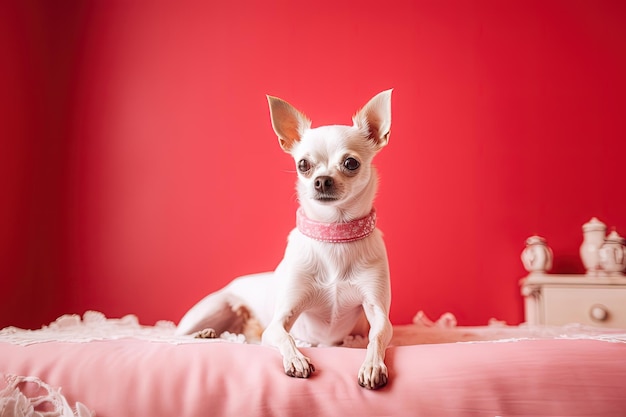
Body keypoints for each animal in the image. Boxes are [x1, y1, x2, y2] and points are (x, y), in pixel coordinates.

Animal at [176, 89, 390, 388]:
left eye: (351, 163)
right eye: (303, 164)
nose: (322, 180)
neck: (333, 235)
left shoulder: (378, 312)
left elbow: (376, 336)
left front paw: (372, 365)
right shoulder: (280, 320)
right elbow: (285, 336)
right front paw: (297, 360)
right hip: (212, 307)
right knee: (174, 332)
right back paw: (204, 334)